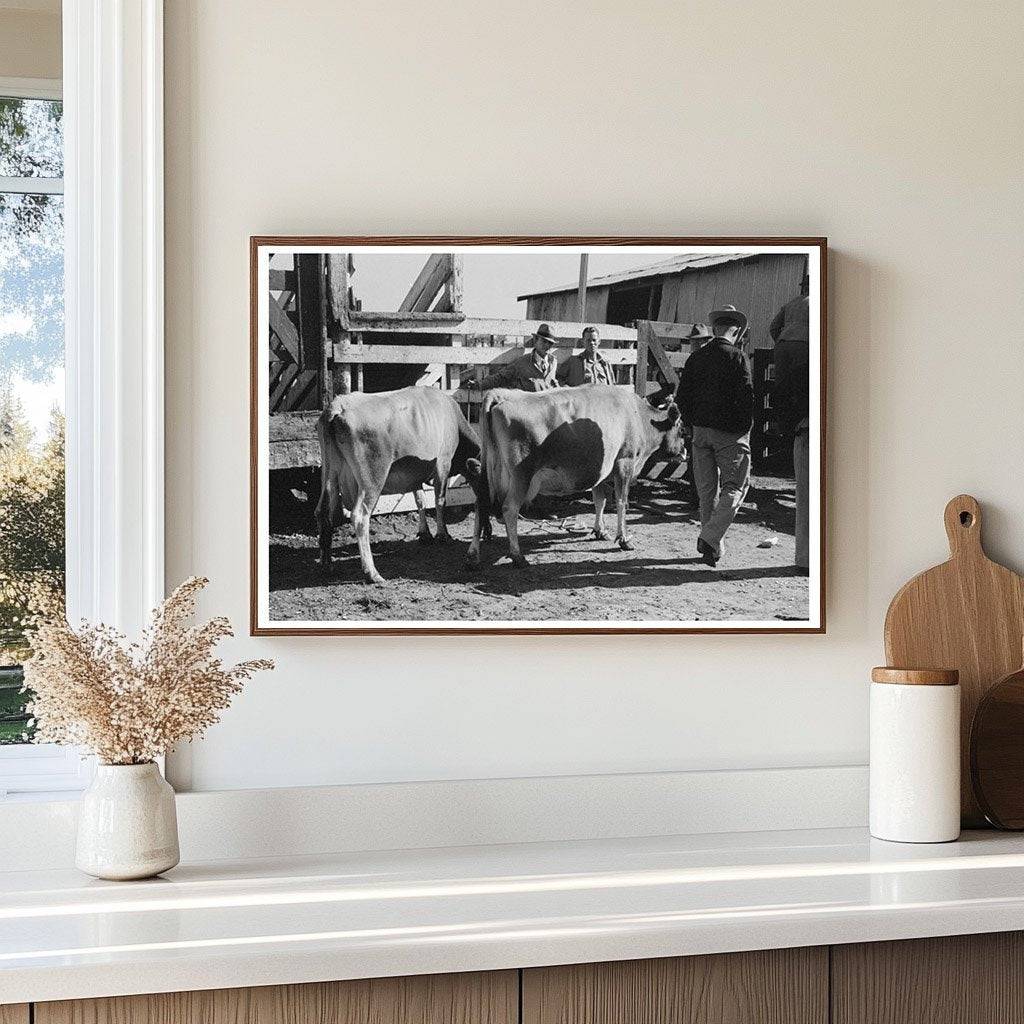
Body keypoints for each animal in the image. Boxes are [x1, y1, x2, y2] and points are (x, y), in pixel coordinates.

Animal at [317, 385, 489, 585]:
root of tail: (338, 405)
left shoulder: (413, 473)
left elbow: (420, 500)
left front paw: (425, 533)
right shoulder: (443, 462)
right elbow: (439, 500)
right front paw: (443, 534)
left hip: (330, 472)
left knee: (322, 511)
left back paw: (327, 565)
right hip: (372, 477)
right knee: (360, 516)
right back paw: (372, 572)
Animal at [468, 385, 679, 569]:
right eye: (681, 427)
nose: (683, 451)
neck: (638, 416)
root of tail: (502, 394)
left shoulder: (600, 471)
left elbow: (599, 501)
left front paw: (600, 531)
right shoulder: (624, 463)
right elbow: (621, 502)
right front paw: (624, 539)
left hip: (491, 472)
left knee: (480, 504)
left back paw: (473, 556)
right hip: (522, 475)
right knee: (509, 509)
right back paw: (517, 556)